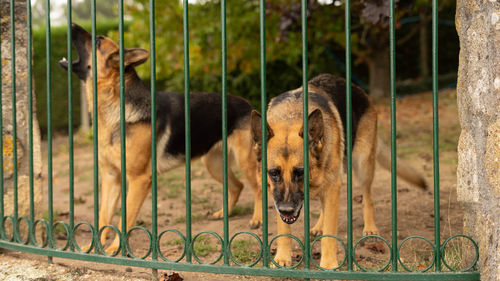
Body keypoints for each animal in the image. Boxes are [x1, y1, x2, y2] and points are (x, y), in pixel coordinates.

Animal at [59, 23, 262, 253]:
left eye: (98, 40)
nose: (72, 24)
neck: (116, 106)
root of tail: (246, 103)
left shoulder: (139, 180)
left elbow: (124, 219)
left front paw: (113, 249)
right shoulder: (111, 178)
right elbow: (103, 217)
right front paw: (95, 248)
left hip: (245, 162)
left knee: (258, 187)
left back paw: (257, 218)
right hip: (213, 164)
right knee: (238, 186)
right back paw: (224, 213)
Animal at [250, 73, 426, 268]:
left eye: (300, 172)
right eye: (274, 173)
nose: (287, 210)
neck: (291, 116)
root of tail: (358, 89)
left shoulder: (333, 187)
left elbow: (330, 233)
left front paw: (328, 263)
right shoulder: (277, 196)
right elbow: (284, 230)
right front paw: (282, 257)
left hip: (362, 165)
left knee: (367, 198)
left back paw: (370, 228)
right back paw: (318, 226)